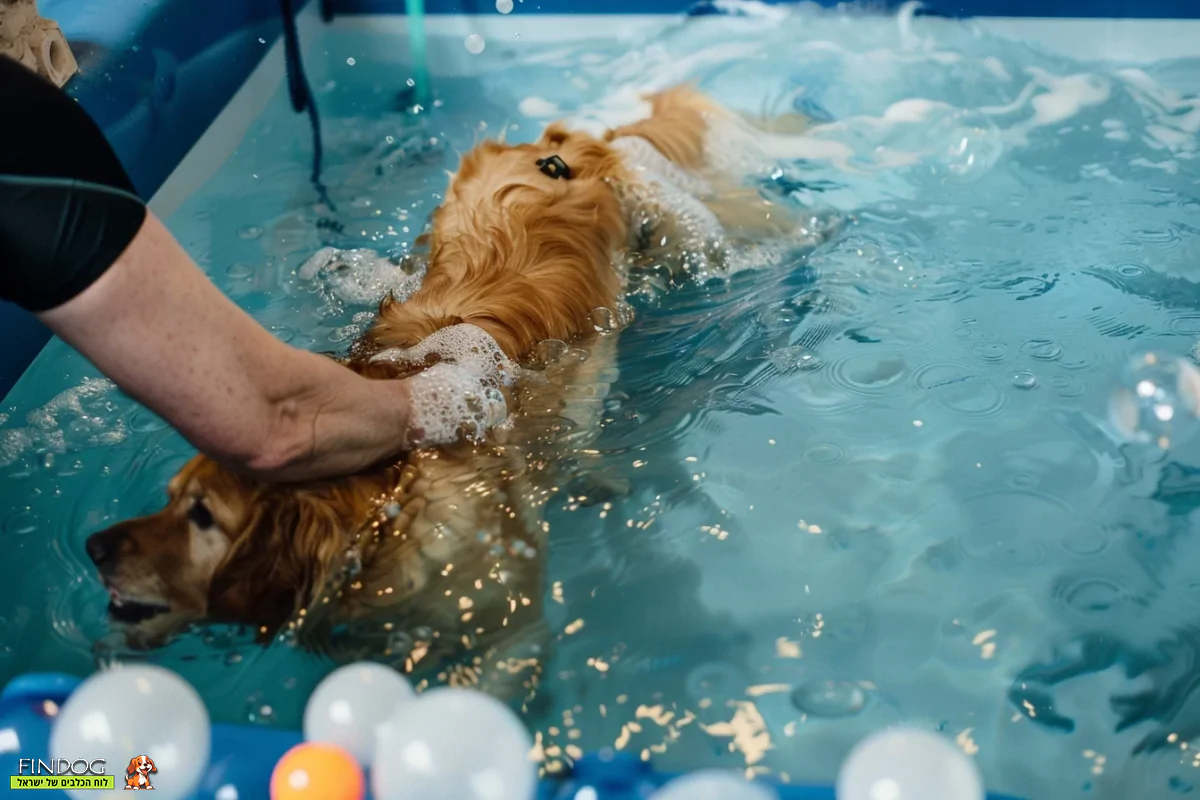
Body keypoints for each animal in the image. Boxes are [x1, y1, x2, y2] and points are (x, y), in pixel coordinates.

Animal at [84, 86, 806, 695]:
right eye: (168, 499)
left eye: (203, 516)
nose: (94, 548)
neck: (383, 518)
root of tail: (562, 146)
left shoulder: (510, 625)